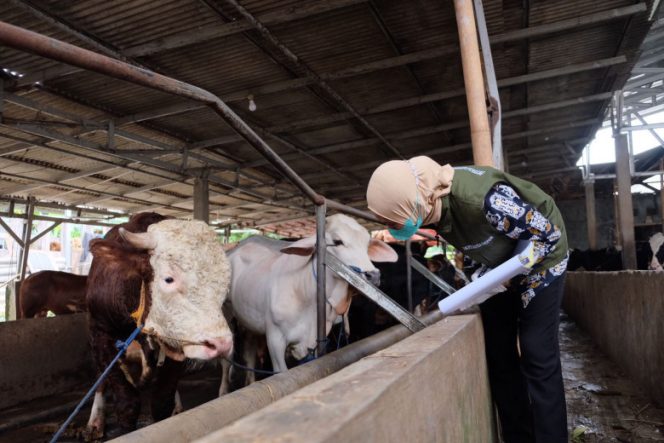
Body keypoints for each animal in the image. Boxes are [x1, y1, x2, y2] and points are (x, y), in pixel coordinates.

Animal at [85, 213, 233, 438]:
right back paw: (95, 421)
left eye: (225, 282)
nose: (221, 344)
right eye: (169, 279)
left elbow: (162, 400)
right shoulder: (100, 333)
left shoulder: (177, 341)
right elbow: (126, 403)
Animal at [220, 215, 396, 392]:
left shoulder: (315, 341)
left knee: (249, 350)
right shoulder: (275, 339)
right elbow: (282, 374)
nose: (373, 275)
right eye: (337, 241)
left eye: (366, 244)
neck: (305, 294)